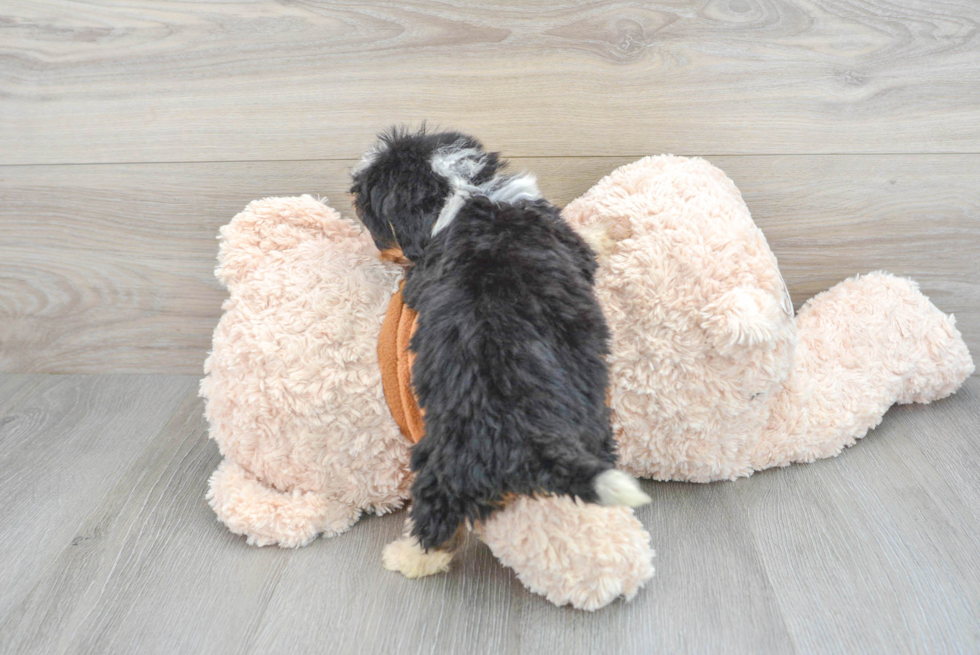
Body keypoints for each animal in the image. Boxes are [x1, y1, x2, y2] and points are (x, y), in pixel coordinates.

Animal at [348, 128, 648, 580]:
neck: (463, 195)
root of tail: (521, 437)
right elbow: (586, 241)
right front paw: (611, 229)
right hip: (593, 426)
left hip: (438, 459)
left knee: (437, 516)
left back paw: (408, 558)